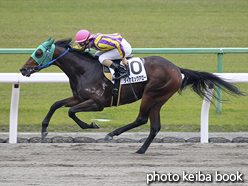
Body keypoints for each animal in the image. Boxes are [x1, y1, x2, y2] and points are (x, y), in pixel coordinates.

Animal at [19, 37, 244, 154]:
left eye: (38, 53)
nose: (22, 69)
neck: (84, 70)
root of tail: (176, 68)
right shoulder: (79, 97)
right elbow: (56, 104)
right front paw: (44, 130)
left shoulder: (97, 103)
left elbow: (71, 112)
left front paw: (91, 125)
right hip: (160, 99)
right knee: (154, 126)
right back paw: (141, 149)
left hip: (151, 94)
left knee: (141, 119)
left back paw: (113, 134)